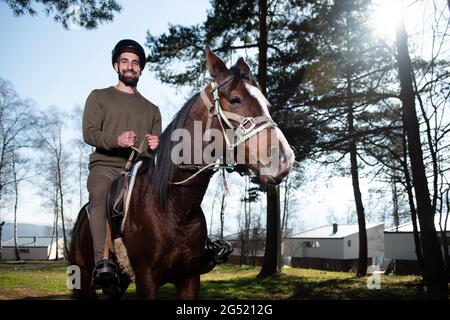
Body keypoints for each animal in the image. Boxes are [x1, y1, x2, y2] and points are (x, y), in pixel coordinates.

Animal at [69, 46, 296, 298]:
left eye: (268, 106)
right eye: (235, 99)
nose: (284, 159)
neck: (174, 205)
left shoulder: (189, 278)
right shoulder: (146, 280)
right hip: (85, 280)